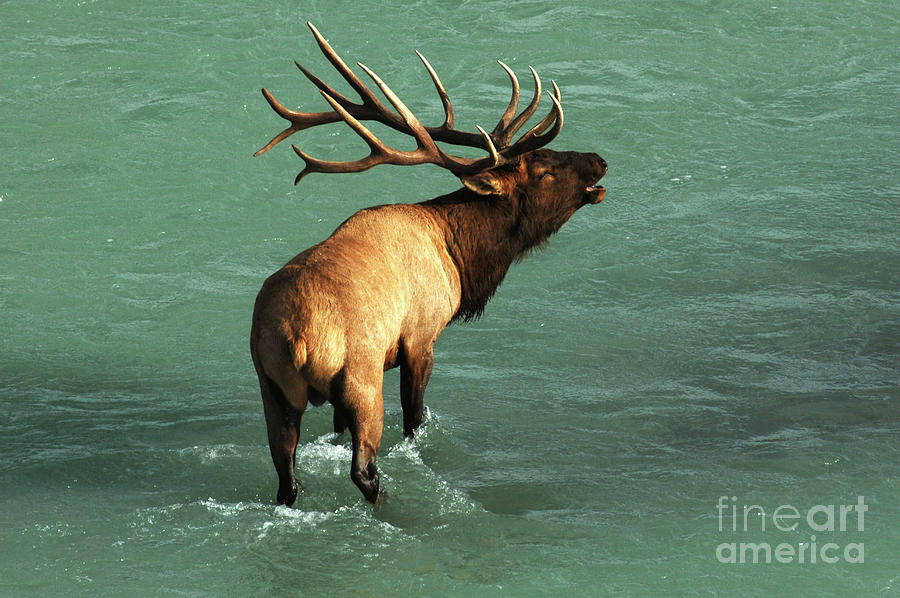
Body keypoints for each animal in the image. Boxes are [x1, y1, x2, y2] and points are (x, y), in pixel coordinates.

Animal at [250, 23, 607, 506]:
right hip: (360, 379)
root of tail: (297, 338)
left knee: (286, 475)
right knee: (364, 469)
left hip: (271, 388)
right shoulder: (420, 337)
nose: (599, 161)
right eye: (543, 170)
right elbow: (415, 421)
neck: (458, 256)